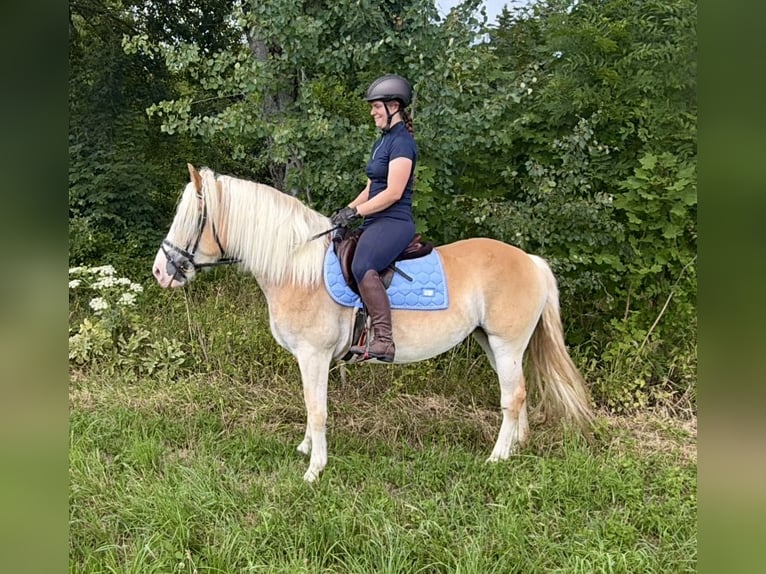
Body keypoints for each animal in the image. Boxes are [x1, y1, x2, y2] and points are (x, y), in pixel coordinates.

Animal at [152, 164, 594, 482]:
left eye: (192, 219)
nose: (159, 272)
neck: (297, 268)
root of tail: (531, 261)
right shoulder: (310, 360)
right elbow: (310, 405)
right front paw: (306, 449)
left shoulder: (313, 355)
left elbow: (317, 409)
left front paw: (314, 470)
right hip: (494, 343)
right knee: (517, 393)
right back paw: (516, 447)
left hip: (505, 342)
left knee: (513, 397)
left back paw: (498, 456)